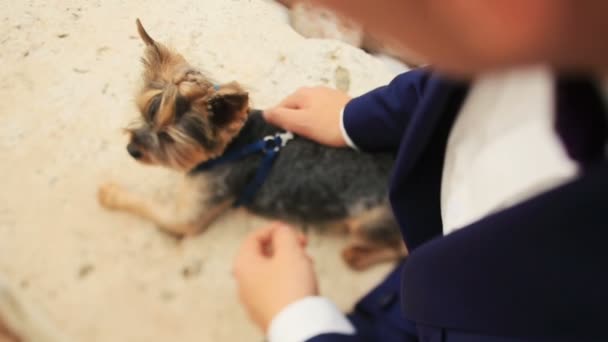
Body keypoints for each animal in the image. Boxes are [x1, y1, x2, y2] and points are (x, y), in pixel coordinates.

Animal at [97, 20, 406, 270]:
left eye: (169, 139)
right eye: (144, 114)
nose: (132, 150)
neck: (232, 147)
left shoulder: (188, 215)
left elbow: (152, 208)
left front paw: (111, 194)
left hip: (368, 222)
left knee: (398, 250)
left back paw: (356, 255)